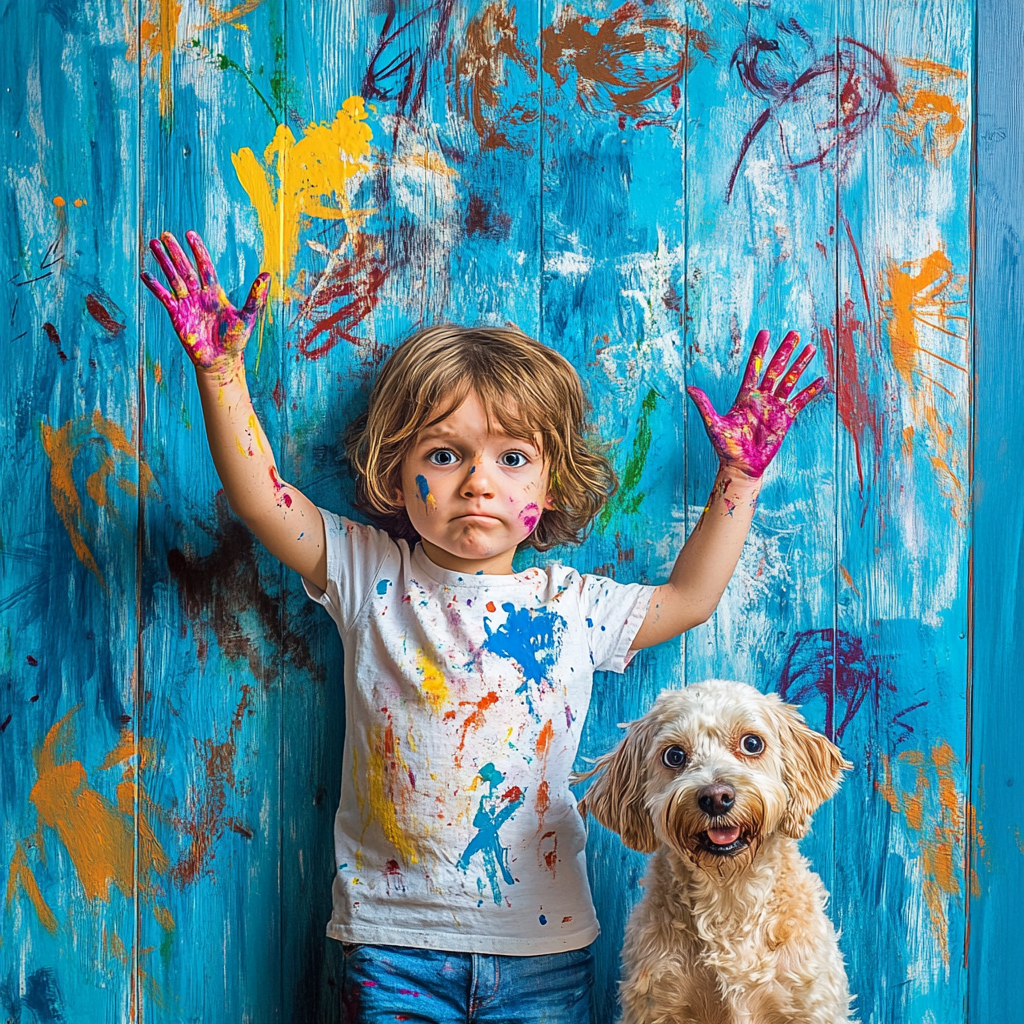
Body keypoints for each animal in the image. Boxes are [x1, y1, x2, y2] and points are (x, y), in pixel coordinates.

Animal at [577, 679, 856, 1024]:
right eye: (674, 755)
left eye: (752, 743)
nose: (716, 797)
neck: (728, 896)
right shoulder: (656, 1004)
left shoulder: (810, 1003)